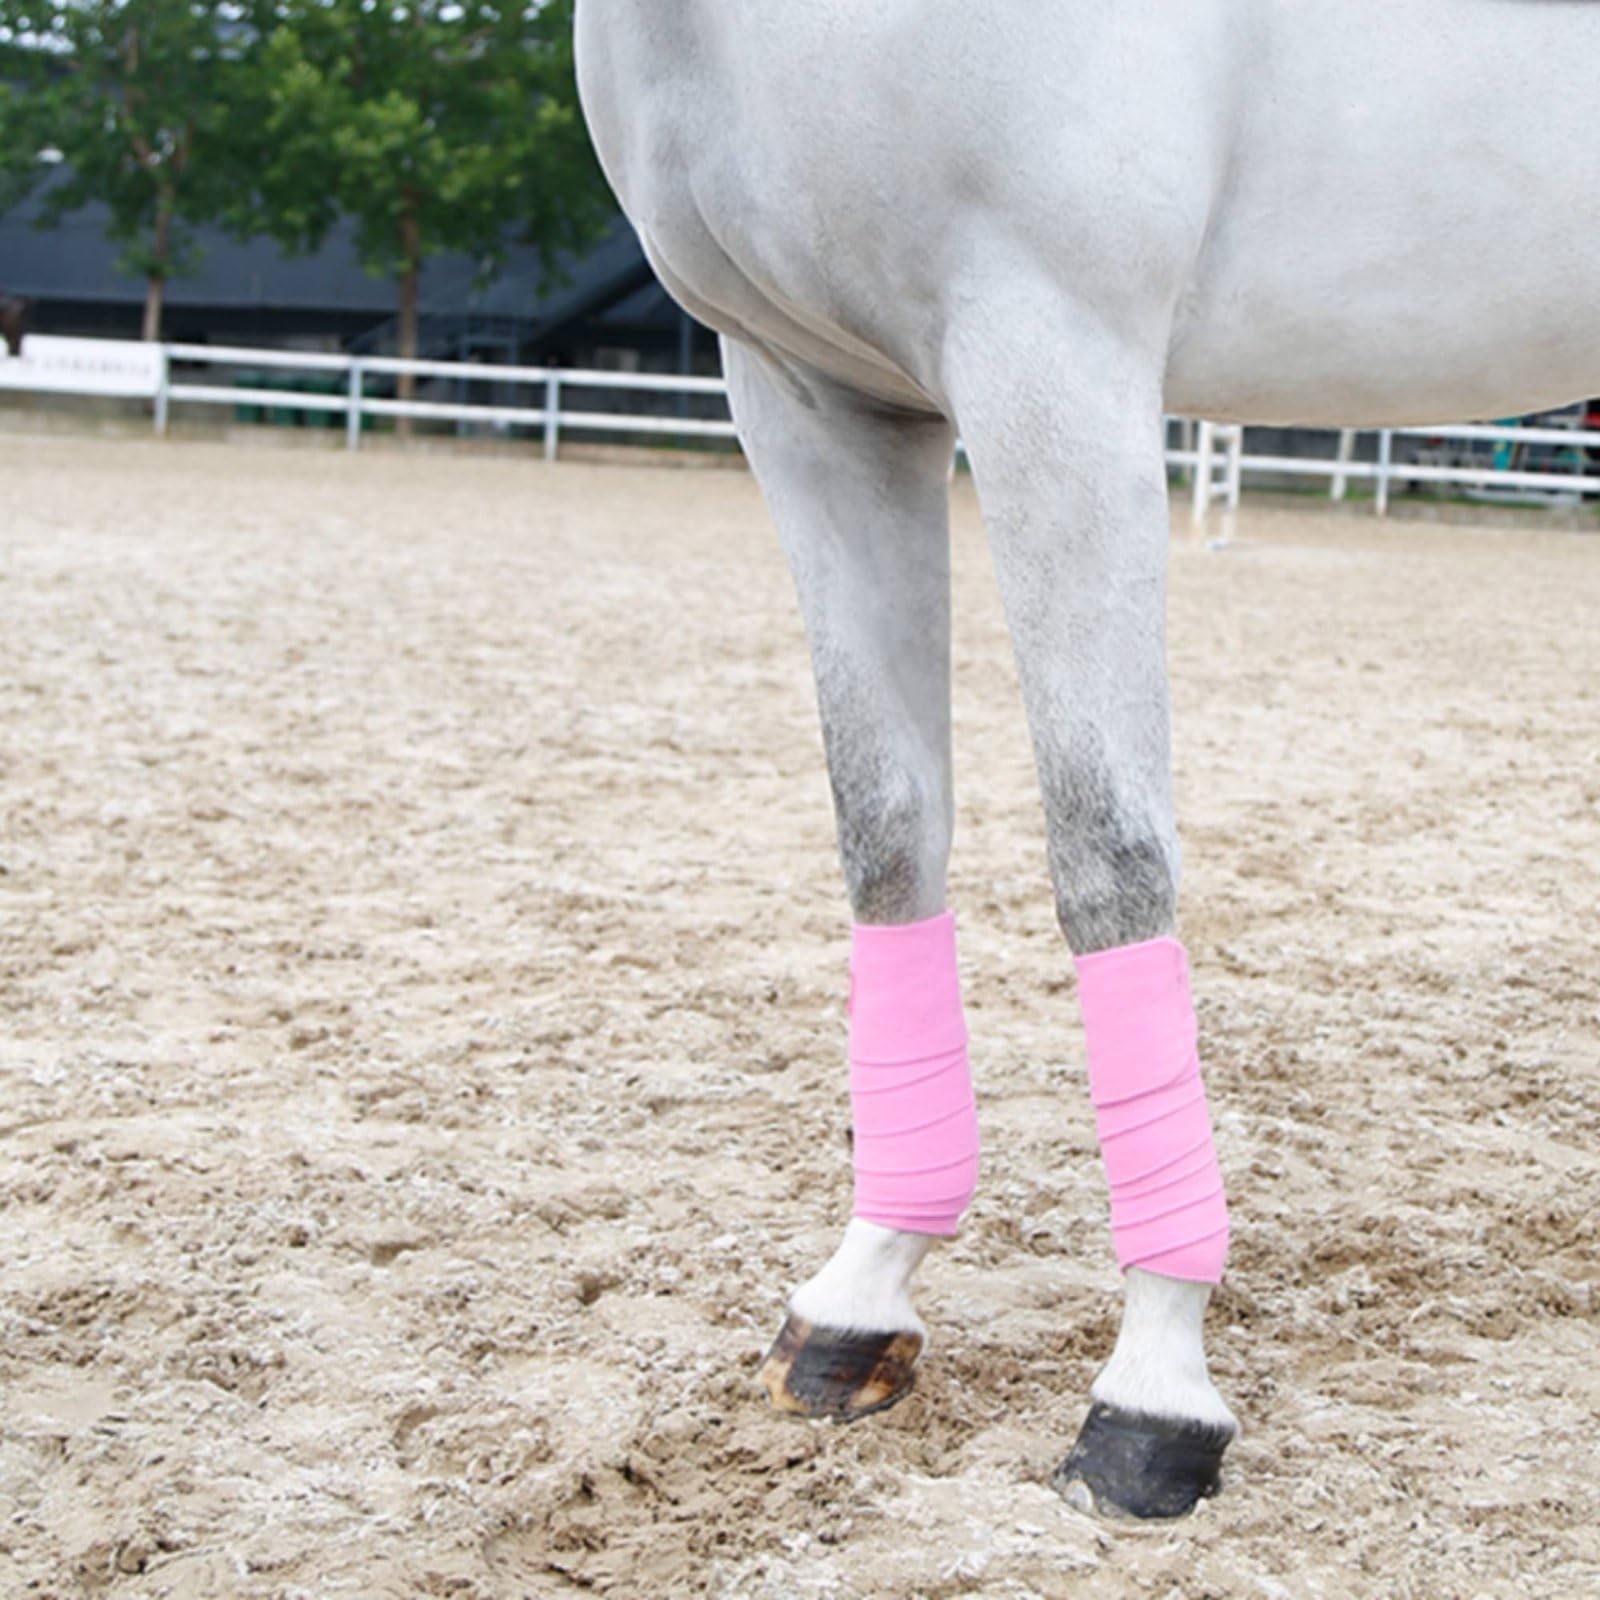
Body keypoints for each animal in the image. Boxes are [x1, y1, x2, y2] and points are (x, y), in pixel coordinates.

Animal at [574, 0, 1600, 1520]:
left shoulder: (1057, 359)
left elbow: (1108, 855)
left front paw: (1154, 1390)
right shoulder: (814, 400)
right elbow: (887, 834)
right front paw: (861, 1297)